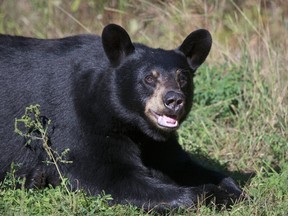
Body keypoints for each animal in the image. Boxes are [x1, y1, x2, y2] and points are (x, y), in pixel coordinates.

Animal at [0, 23, 243, 211]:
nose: (174, 100)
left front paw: (232, 188)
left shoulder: (157, 143)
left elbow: (179, 164)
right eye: (149, 78)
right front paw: (214, 195)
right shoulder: (78, 121)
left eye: (182, 77)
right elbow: (107, 175)